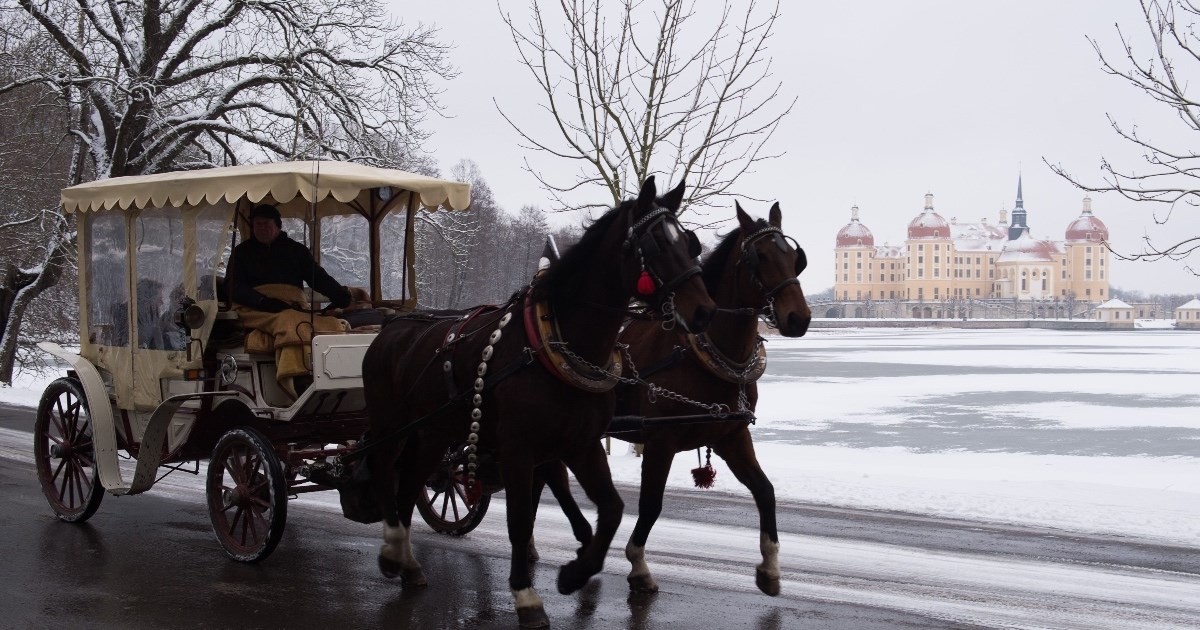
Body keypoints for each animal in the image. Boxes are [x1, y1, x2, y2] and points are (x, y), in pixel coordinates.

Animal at [355, 177, 710, 628]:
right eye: (656, 243)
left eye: (690, 242)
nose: (704, 311)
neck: (557, 345)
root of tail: (391, 325)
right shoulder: (518, 450)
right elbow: (521, 520)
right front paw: (526, 595)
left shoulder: (581, 444)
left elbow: (612, 509)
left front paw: (576, 572)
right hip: (392, 425)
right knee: (385, 471)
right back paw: (391, 552)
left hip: (433, 432)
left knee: (411, 485)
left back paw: (409, 564)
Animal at [537, 200, 811, 595]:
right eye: (759, 256)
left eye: (793, 257)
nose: (799, 318)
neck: (702, 354)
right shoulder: (660, 440)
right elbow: (651, 504)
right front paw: (638, 565)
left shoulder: (731, 436)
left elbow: (765, 490)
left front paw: (770, 566)